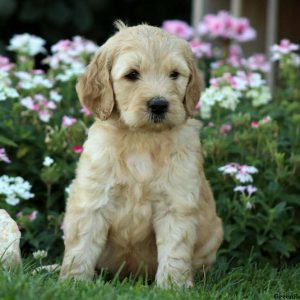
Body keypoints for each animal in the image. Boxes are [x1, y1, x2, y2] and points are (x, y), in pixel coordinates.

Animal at [60, 21, 223, 288]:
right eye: (132, 75)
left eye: (174, 74)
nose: (159, 104)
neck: (142, 138)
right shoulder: (93, 199)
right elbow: (81, 247)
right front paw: (73, 283)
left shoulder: (176, 202)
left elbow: (175, 251)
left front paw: (173, 287)